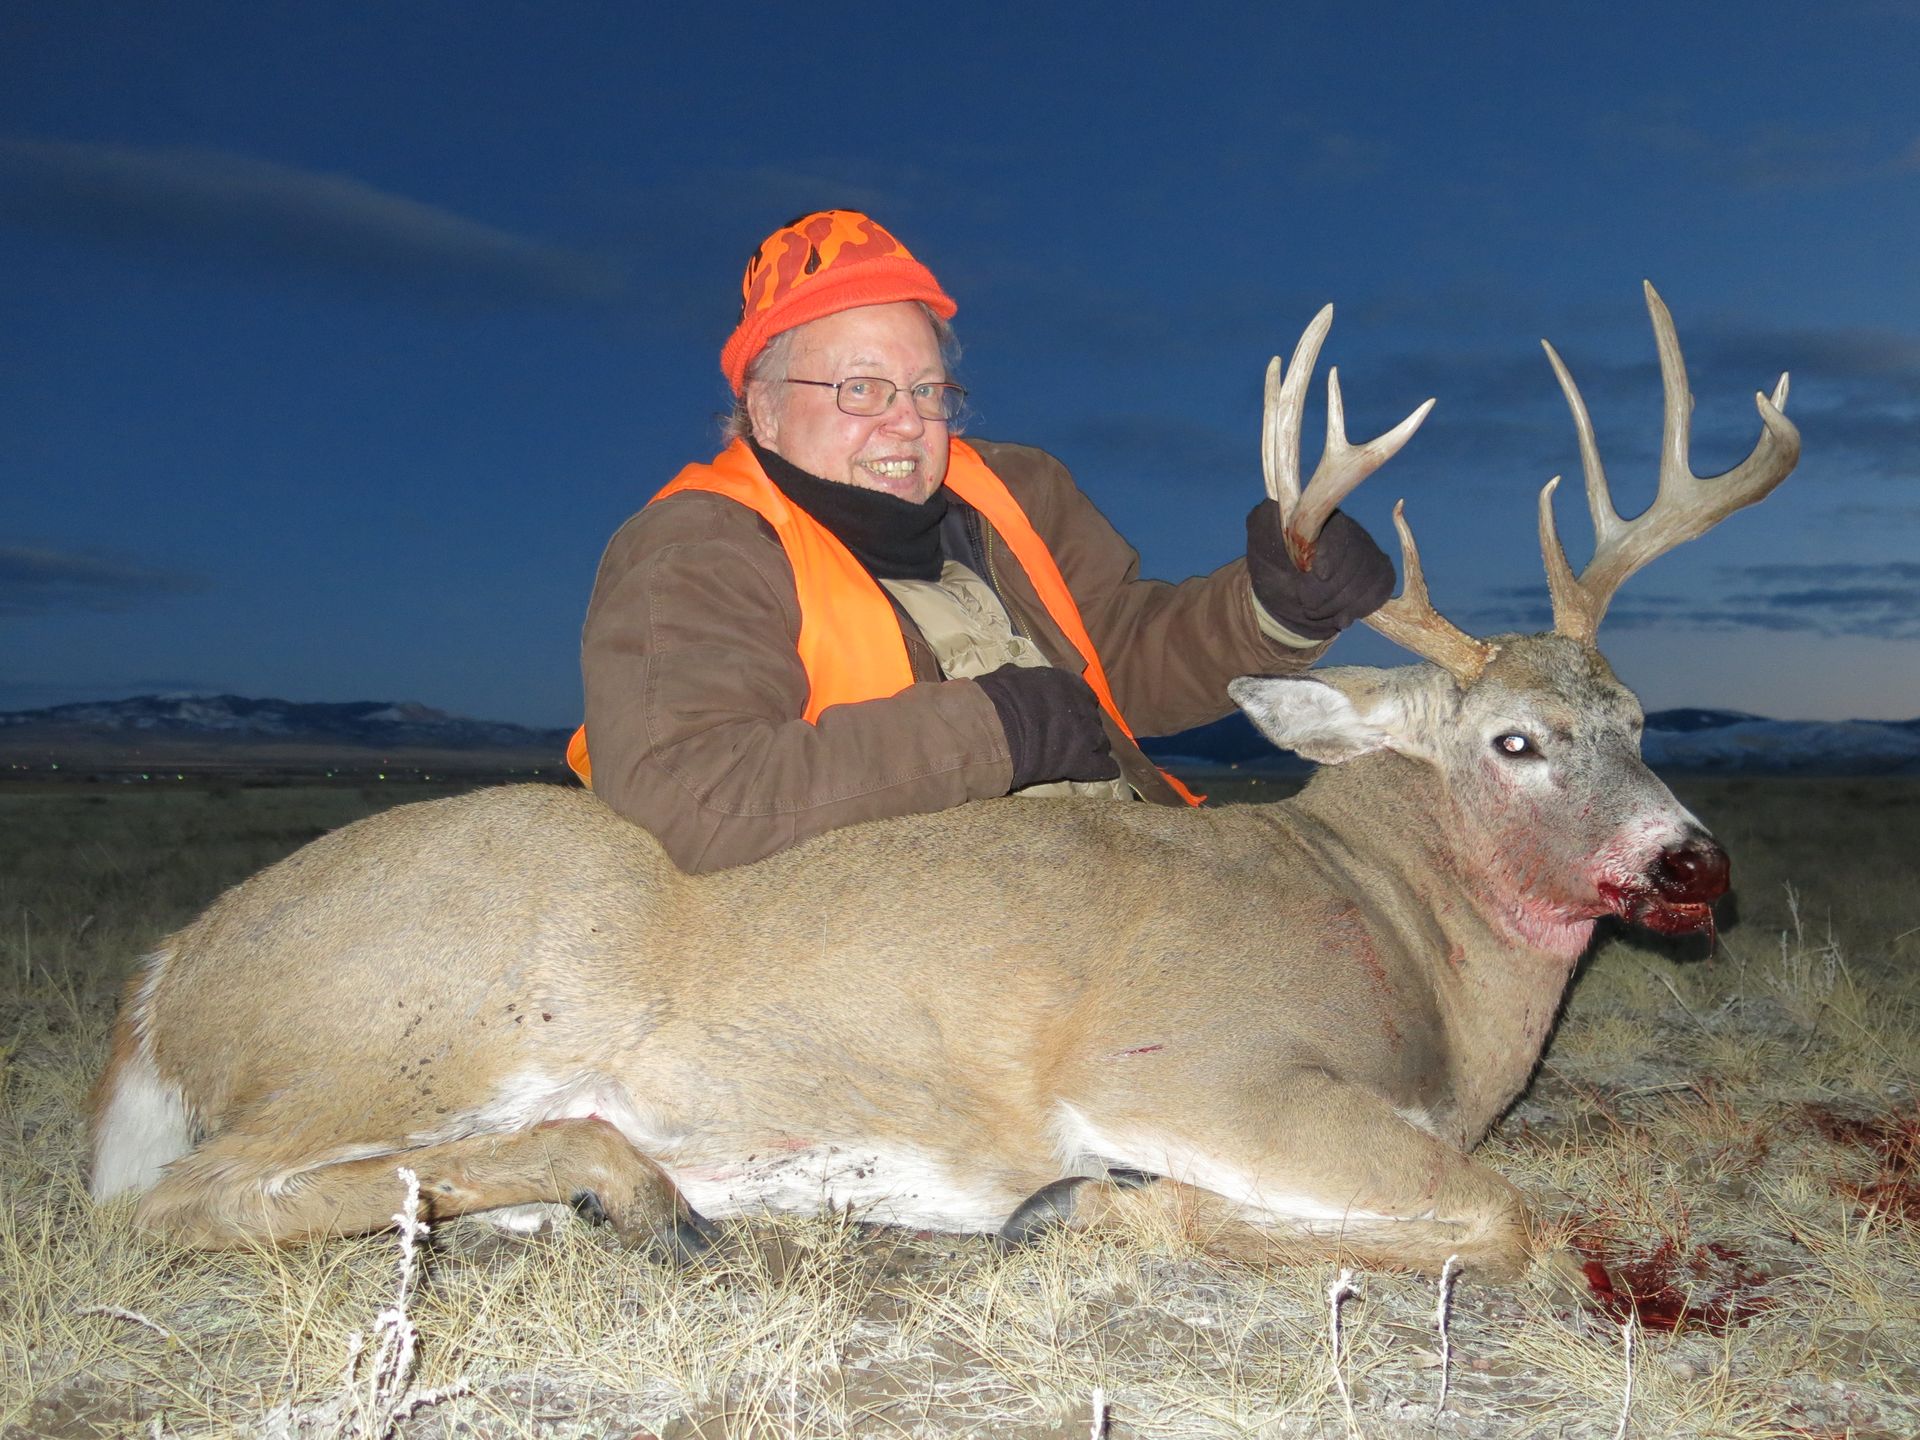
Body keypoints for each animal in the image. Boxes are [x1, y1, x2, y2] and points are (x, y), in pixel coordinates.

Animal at [89, 283, 1799, 1282]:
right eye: (1514, 742)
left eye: (1641, 716)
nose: (1693, 864)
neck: (1407, 945)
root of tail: (169, 980)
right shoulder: (1197, 1065)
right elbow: (1495, 1216)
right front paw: (1088, 1205)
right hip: (417, 1026)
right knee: (180, 1197)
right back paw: (630, 1189)